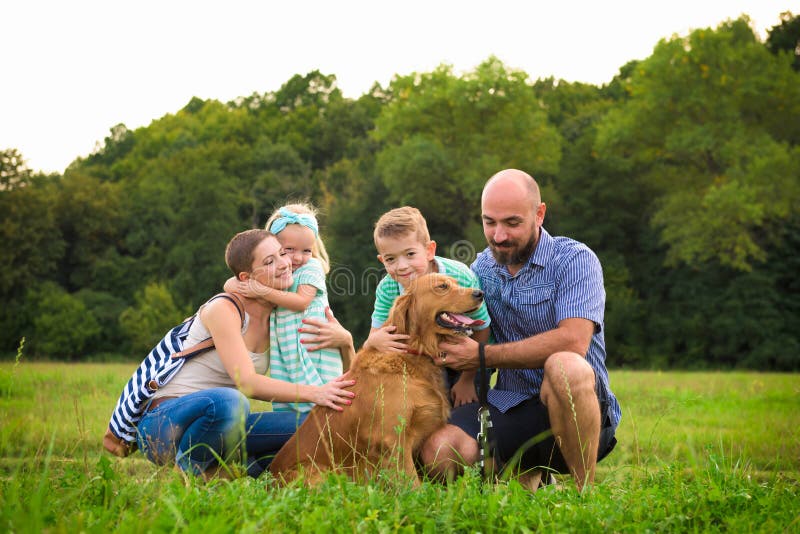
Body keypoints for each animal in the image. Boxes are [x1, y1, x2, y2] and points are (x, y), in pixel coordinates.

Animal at [268, 274, 484, 488]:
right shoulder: (393, 438)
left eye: (457, 283)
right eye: (442, 286)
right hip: (318, 473)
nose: (480, 293)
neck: (412, 353)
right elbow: (412, 483)